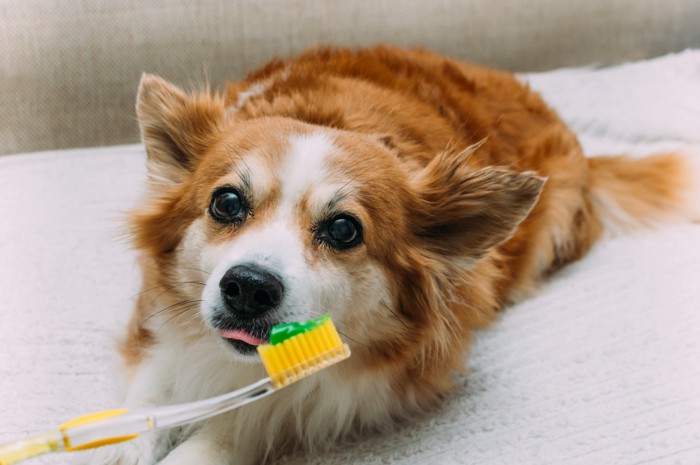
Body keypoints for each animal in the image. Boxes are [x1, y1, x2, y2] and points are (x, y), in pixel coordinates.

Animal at [89, 46, 700, 464]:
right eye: (227, 202)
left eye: (343, 230)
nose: (248, 287)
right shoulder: (158, 316)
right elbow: (150, 390)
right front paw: (123, 443)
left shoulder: (342, 387)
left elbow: (245, 421)